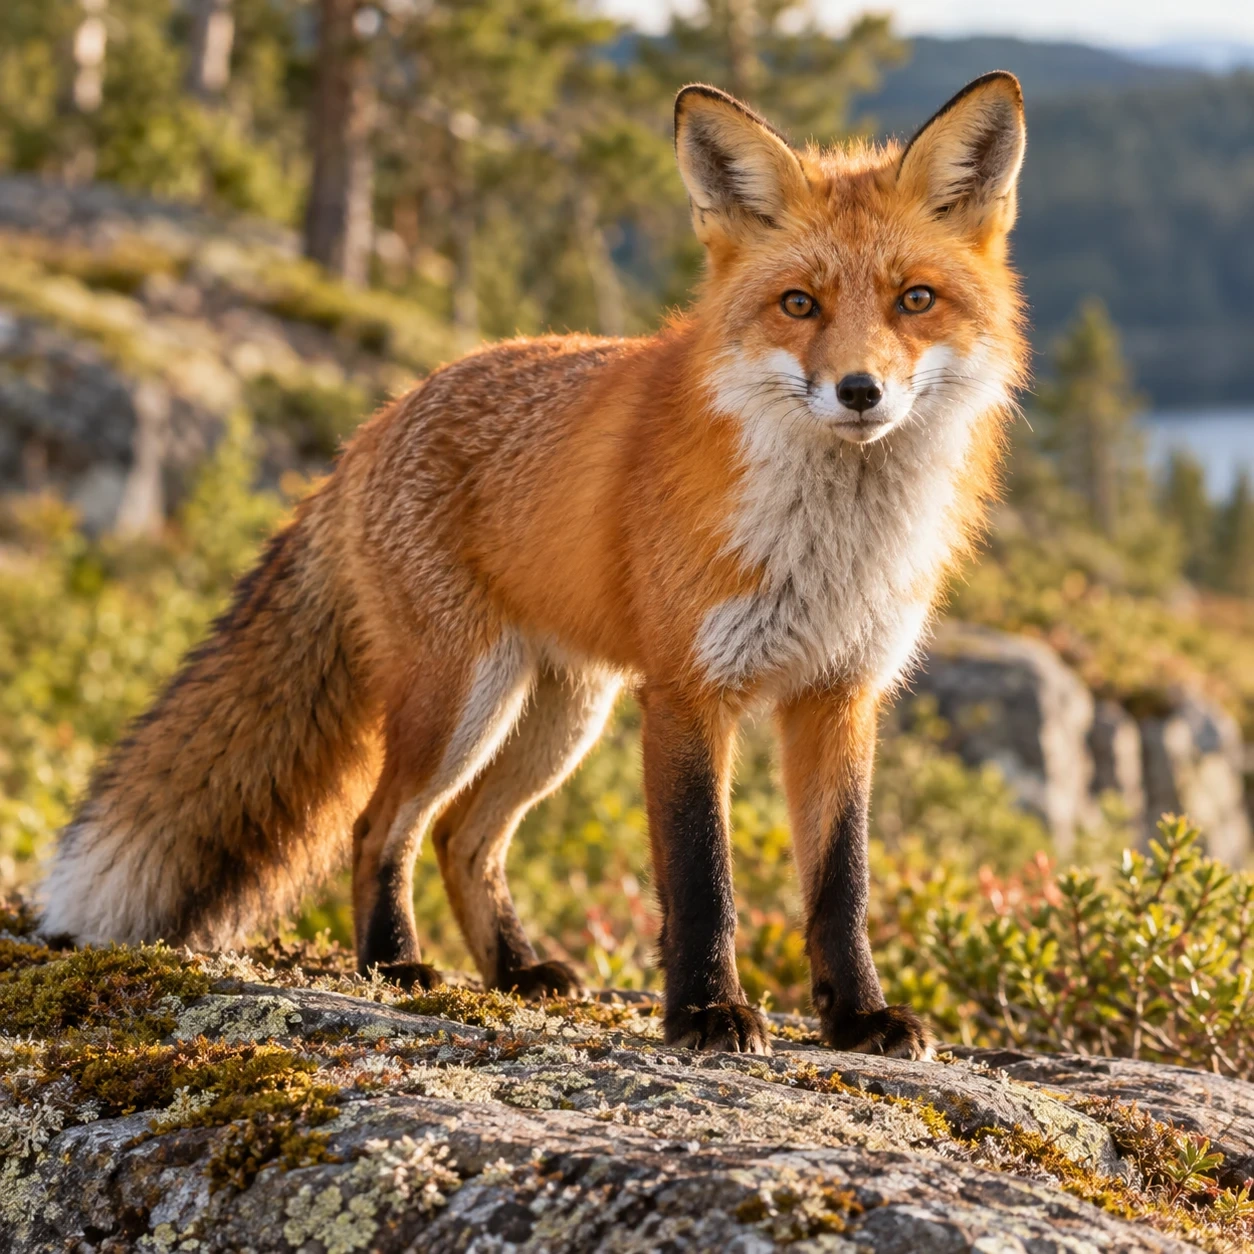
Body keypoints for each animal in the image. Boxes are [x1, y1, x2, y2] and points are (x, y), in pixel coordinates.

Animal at [40, 72, 1027, 1058]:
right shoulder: (686, 692)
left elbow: (840, 883)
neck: (830, 550)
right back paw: (394, 964)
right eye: (798, 305)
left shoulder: (840, 694)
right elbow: (701, 878)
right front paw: (707, 1012)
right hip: (462, 698)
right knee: (380, 826)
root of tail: (371, 427)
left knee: (463, 839)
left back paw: (514, 970)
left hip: (559, 717)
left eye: (915, 300)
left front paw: (858, 1016)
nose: (860, 391)